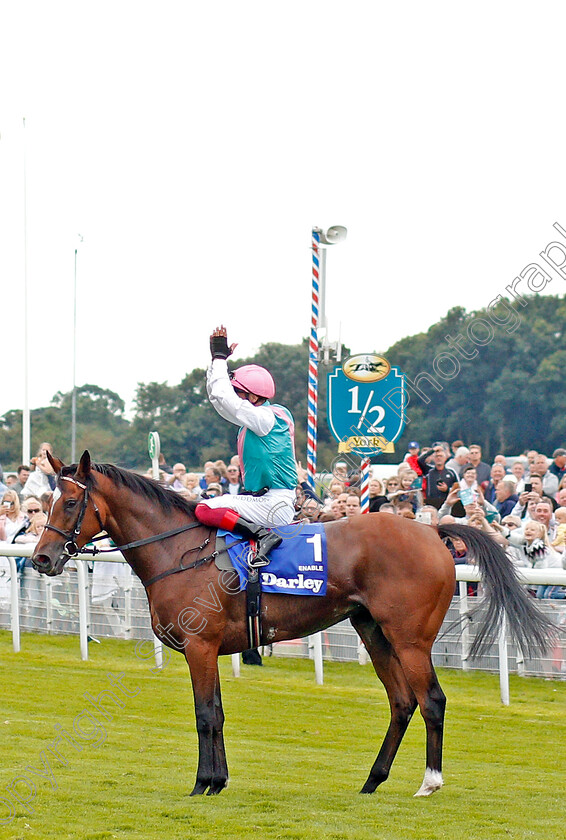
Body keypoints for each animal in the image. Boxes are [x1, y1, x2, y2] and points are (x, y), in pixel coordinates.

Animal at [32, 456, 556, 796]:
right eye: (49, 500)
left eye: (71, 502)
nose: (41, 558)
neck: (179, 551)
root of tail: (431, 530)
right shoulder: (209, 651)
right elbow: (217, 712)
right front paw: (218, 781)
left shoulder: (200, 646)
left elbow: (206, 715)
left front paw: (203, 783)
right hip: (373, 632)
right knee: (402, 702)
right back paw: (371, 781)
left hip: (410, 638)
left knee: (432, 700)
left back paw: (429, 783)